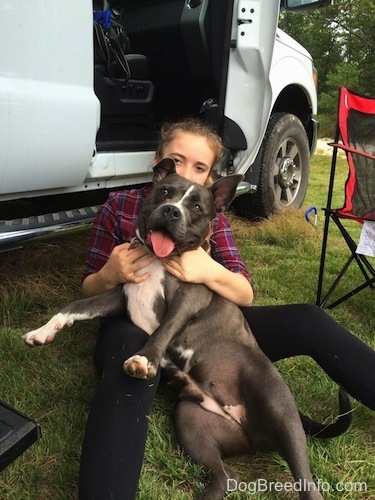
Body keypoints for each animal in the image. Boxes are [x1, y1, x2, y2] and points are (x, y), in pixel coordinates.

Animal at [25, 158, 352, 498]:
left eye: (196, 207)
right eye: (164, 191)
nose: (172, 211)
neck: (156, 259)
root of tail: (250, 430)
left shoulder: (187, 299)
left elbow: (164, 329)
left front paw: (144, 358)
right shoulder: (118, 296)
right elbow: (77, 304)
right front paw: (43, 331)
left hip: (281, 411)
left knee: (306, 481)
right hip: (192, 423)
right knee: (226, 475)